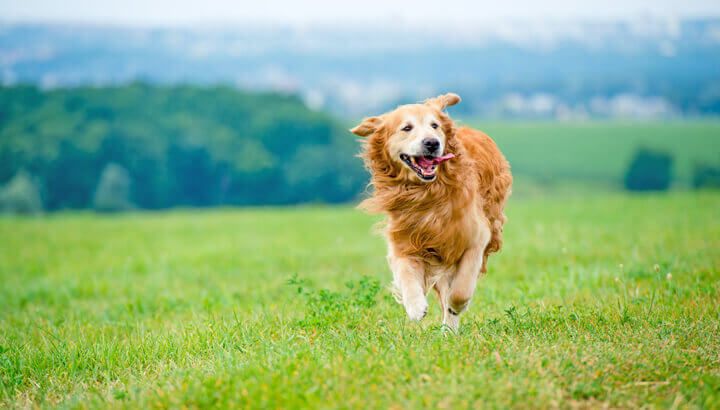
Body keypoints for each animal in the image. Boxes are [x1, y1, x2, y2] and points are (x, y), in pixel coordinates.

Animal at [350, 93, 512, 330]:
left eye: (434, 126)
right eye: (406, 128)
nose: (432, 142)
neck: (426, 194)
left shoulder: (476, 238)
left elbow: (460, 290)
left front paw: (457, 306)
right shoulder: (404, 241)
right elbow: (406, 274)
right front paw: (415, 307)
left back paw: (449, 327)